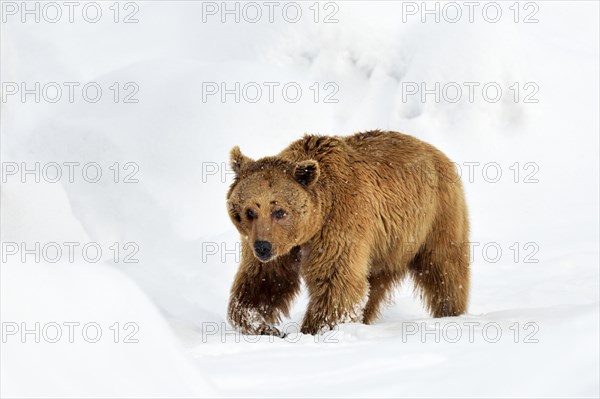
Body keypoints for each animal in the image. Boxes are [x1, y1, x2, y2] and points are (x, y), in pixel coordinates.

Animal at [225, 130, 468, 336]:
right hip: (385, 248)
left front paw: (315, 329)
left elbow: (336, 284)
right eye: (249, 211)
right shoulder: (277, 247)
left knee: (444, 270)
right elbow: (264, 281)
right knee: (372, 285)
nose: (263, 247)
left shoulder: (339, 225)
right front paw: (263, 326)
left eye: (279, 211)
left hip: (435, 218)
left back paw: (450, 313)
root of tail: (436, 152)